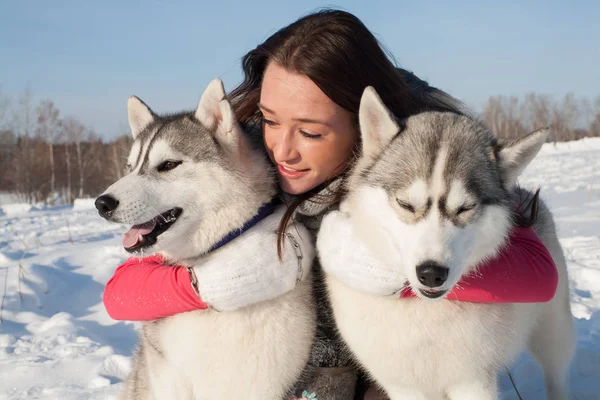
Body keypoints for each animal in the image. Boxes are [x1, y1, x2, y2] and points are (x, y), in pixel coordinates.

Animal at [318, 86, 576, 398]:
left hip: (553, 333)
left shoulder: (472, 382)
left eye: (465, 208)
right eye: (406, 204)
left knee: (556, 372)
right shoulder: (405, 386)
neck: (424, 314)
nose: (431, 273)